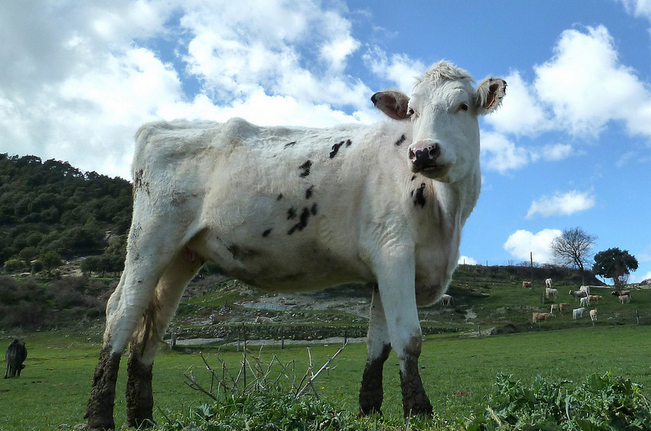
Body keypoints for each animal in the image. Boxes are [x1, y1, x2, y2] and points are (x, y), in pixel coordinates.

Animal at [85, 61, 506, 430]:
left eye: (462, 105)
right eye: (412, 111)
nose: (422, 152)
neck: (446, 214)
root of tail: (160, 127)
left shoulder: (381, 270)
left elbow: (377, 344)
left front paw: (369, 410)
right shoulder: (395, 253)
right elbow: (410, 339)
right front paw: (418, 411)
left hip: (182, 255)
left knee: (151, 326)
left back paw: (141, 418)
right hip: (150, 238)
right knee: (120, 313)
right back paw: (99, 417)